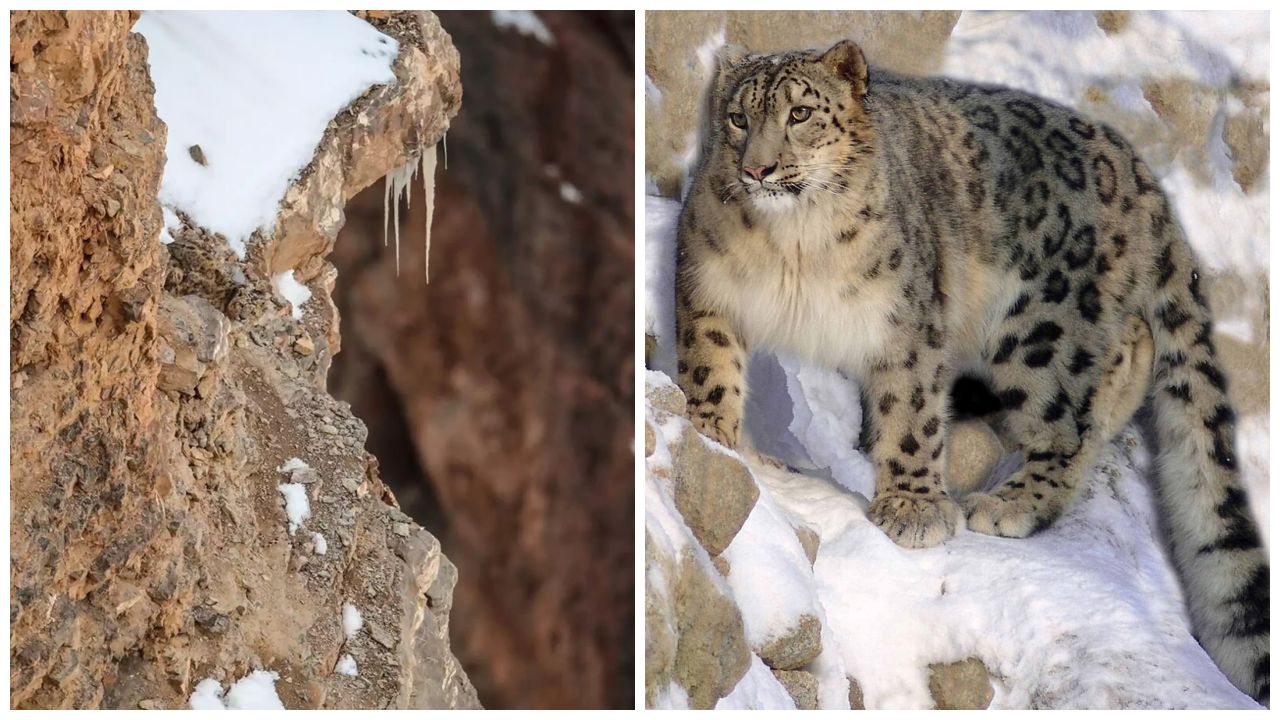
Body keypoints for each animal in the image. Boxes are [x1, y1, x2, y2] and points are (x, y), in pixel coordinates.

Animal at [675, 39, 1264, 702]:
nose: (759, 170)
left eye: (800, 114)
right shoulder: (709, 288)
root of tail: (1137, 168)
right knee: (1129, 349)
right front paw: (714, 438)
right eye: (738, 118)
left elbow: (911, 414)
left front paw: (912, 509)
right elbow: (710, 368)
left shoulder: (907, 323)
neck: (792, 247)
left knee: (1074, 412)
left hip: (1042, 329)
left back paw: (1013, 502)